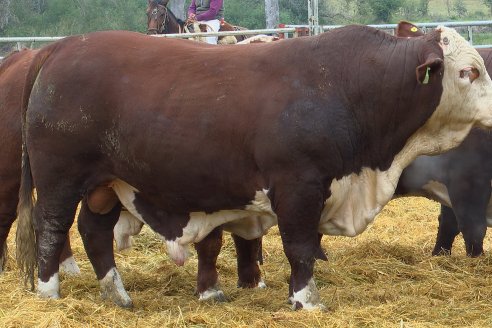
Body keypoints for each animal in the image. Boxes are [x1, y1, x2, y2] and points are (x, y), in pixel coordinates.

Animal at [17, 25, 492, 310]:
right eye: (469, 72)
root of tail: (62, 47)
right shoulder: (298, 187)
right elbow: (300, 247)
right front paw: (305, 300)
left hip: (108, 184)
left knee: (94, 231)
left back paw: (117, 295)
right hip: (60, 178)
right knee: (52, 228)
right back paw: (48, 292)